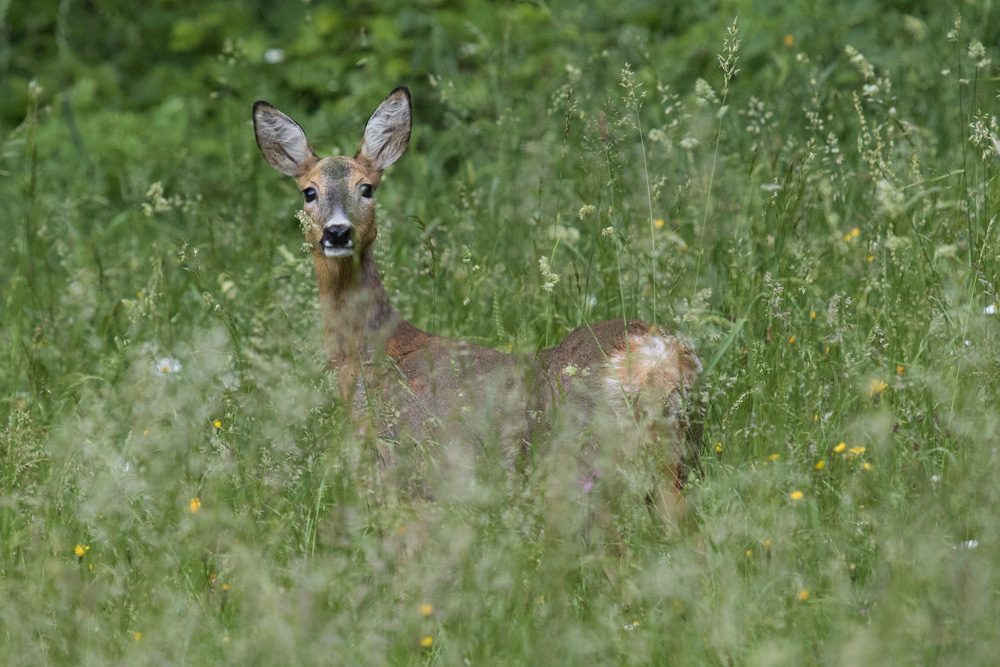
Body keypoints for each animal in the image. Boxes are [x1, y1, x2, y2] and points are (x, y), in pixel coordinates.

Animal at [252, 87, 704, 528]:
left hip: (583, 458)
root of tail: (656, 353)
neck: (374, 357)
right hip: (675, 457)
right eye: (309, 192)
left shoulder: (402, 466)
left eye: (367, 188)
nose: (337, 232)